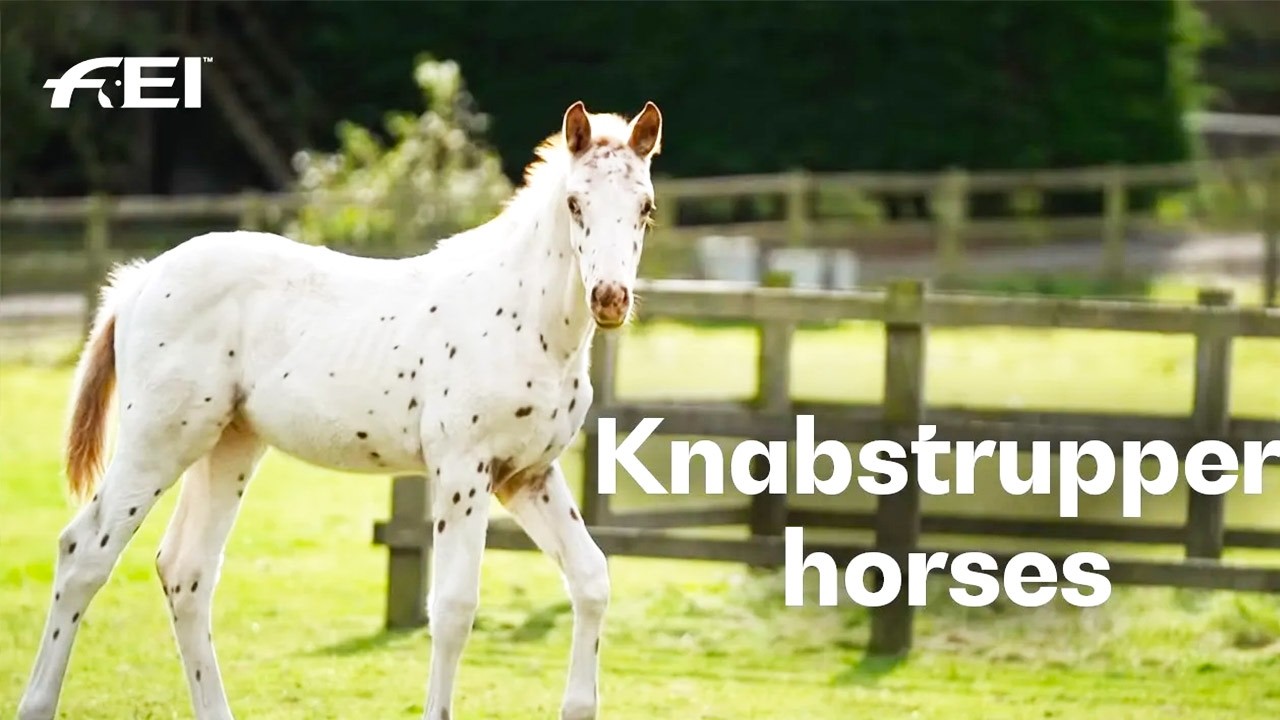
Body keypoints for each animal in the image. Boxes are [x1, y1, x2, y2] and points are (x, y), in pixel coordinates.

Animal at [17, 100, 663, 720]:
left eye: (646, 208)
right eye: (575, 203)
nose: (610, 298)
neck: (524, 318)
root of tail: (142, 280)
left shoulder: (526, 475)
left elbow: (591, 577)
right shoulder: (462, 470)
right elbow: (454, 607)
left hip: (228, 445)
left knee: (186, 571)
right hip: (158, 441)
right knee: (83, 553)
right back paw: (36, 704)